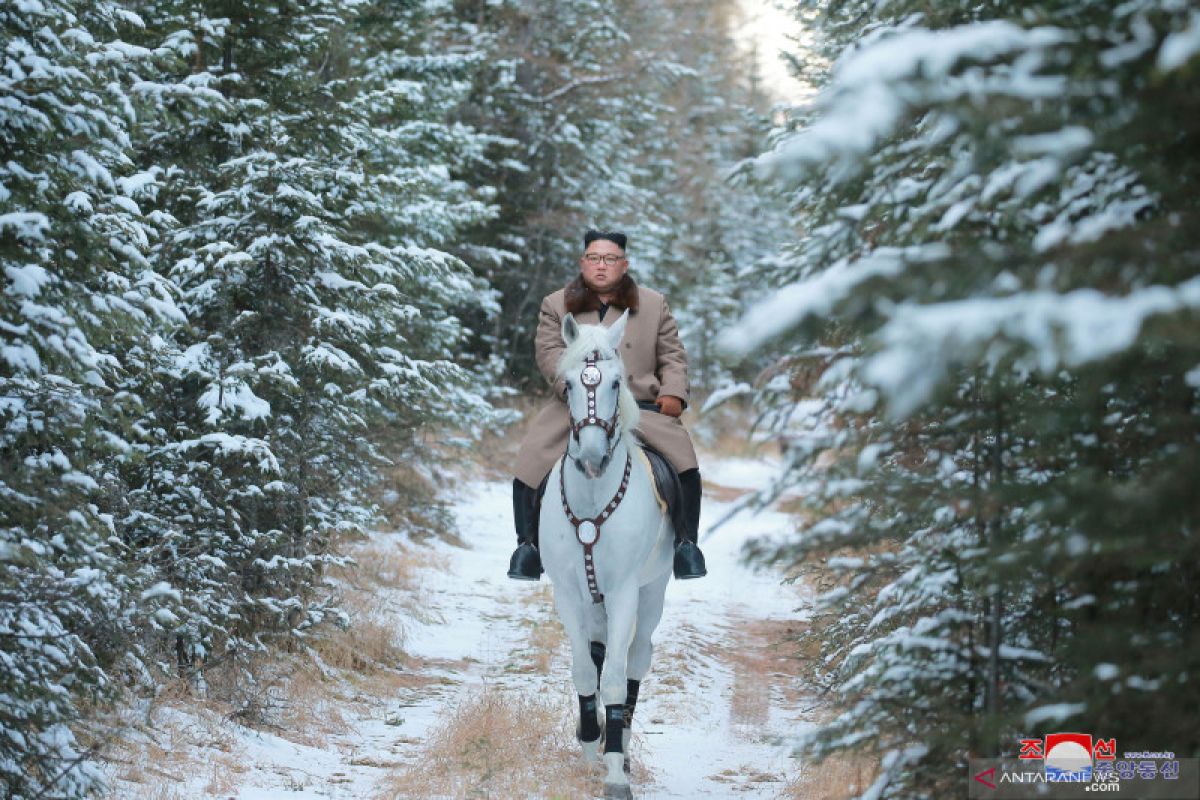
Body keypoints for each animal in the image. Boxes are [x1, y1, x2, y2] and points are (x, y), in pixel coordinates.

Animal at [537, 311, 672, 800]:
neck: (594, 497)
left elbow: (614, 677)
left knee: (635, 660)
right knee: (596, 654)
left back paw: (624, 745)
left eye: (617, 382)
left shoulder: (623, 592)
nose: (593, 457)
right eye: (568, 385)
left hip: (652, 593)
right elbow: (583, 670)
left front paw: (614, 770)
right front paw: (590, 747)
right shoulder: (568, 594)